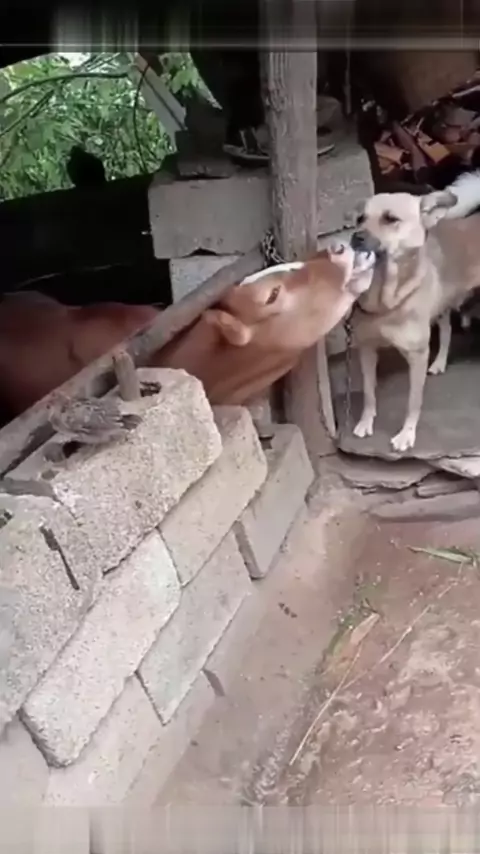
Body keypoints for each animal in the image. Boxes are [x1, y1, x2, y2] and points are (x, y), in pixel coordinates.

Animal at [350, 169, 480, 452]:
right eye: (360, 218)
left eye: (390, 219)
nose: (356, 237)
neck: (385, 300)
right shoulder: (366, 350)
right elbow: (368, 392)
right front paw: (366, 421)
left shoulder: (417, 356)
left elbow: (413, 401)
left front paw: (406, 434)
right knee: (446, 329)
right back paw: (440, 362)